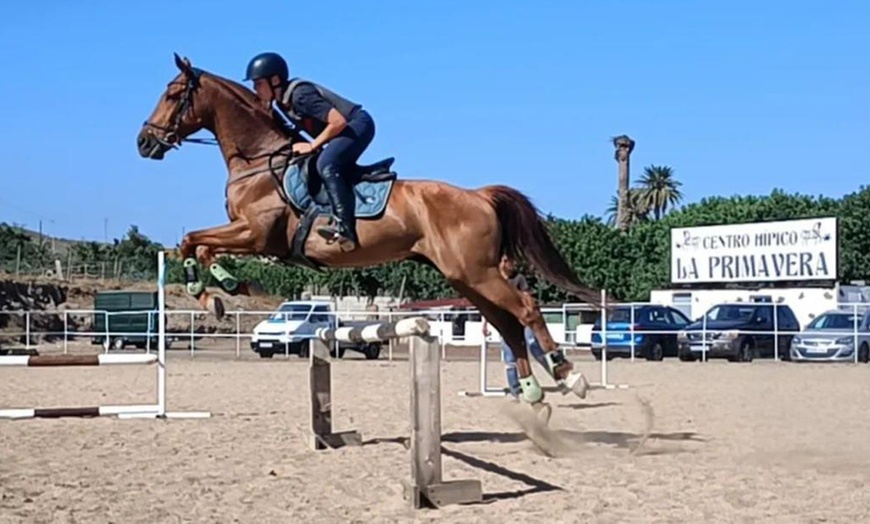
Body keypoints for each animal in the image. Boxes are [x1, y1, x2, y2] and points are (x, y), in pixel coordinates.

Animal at [138, 55, 608, 412]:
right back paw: (531, 391)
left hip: (478, 273)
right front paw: (218, 292)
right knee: (507, 324)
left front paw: (215, 290)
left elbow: (194, 240)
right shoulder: (248, 235)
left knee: (525, 309)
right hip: (467, 279)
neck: (261, 159)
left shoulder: (256, 235)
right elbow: (195, 243)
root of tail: (478, 195)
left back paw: (570, 376)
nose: (144, 142)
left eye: (173, 95)